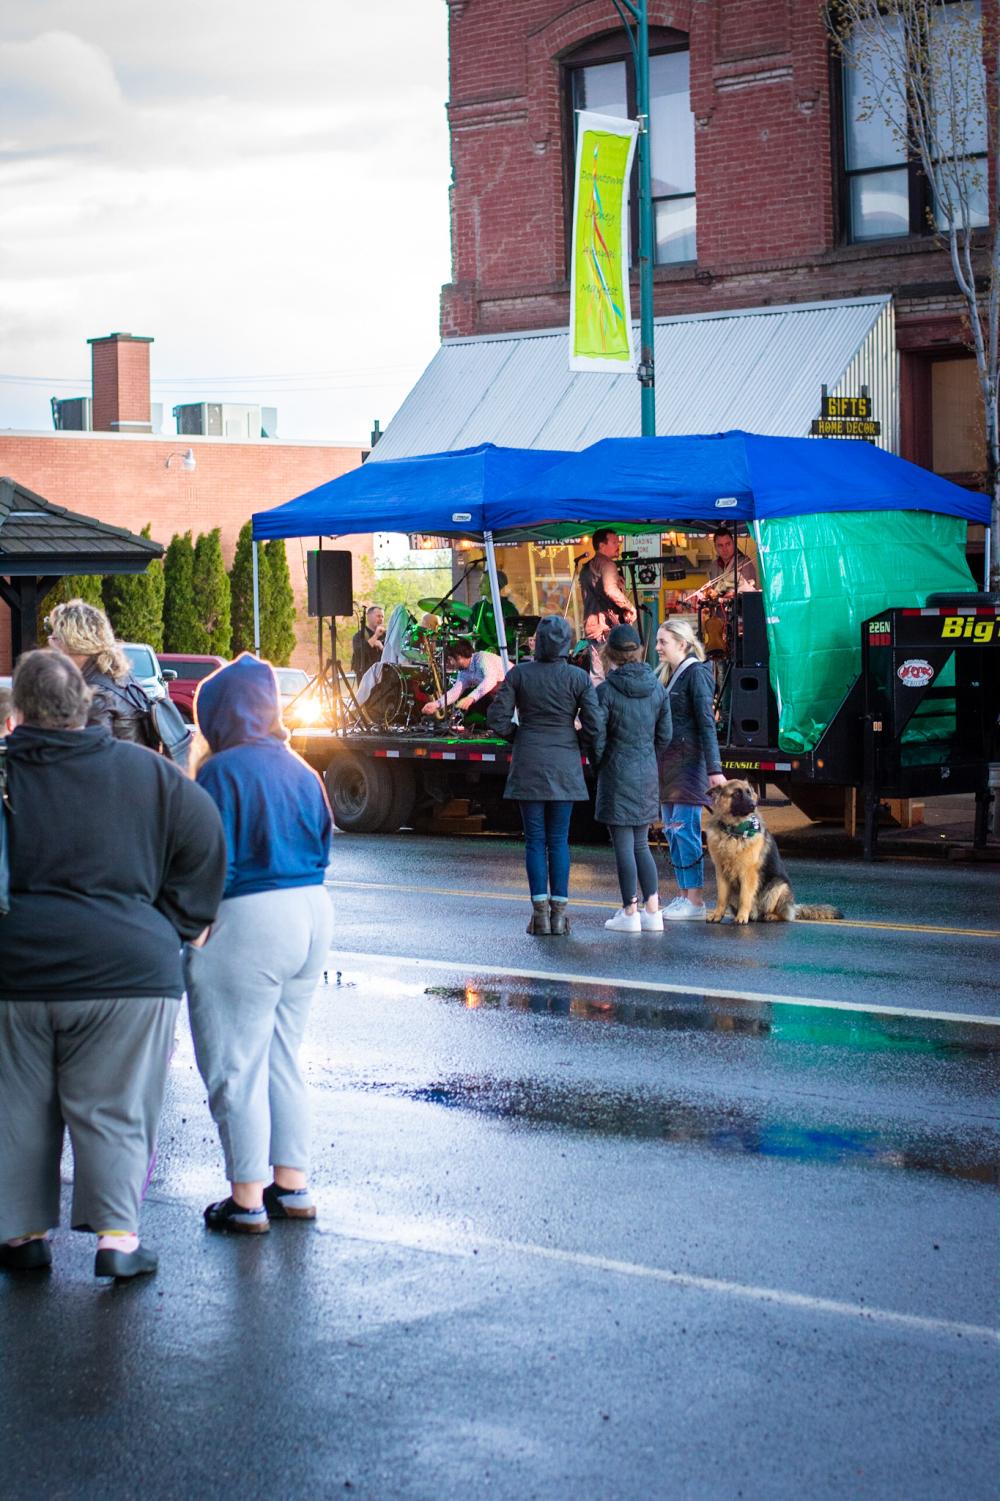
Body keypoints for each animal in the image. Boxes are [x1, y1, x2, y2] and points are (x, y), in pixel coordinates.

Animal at [705, 780, 834, 918]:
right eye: (737, 794)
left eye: (749, 793)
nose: (753, 805)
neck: (733, 832)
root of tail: (794, 907)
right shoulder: (720, 873)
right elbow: (721, 898)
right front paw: (717, 915)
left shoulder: (748, 873)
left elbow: (745, 898)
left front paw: (741, 918)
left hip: (778, 886)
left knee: (780, 913)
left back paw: (770, 915)